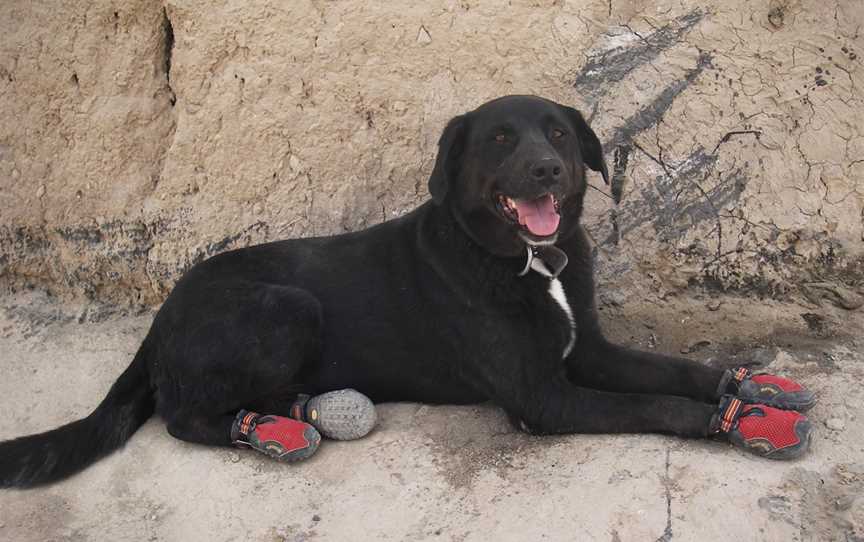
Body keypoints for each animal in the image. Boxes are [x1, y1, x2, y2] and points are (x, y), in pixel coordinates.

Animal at [0, 94, 812, 488]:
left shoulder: (589, 354)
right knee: (182, 417)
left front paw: (749, 388)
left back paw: (297, 407)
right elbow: (656, 405)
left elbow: (678, 370)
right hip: (286, 307)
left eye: (556, 132)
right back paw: (264, 431)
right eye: (500, 139)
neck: (527, 264)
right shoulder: (545, 399)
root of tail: (161, 315)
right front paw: (726, 422)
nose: (549, 169)